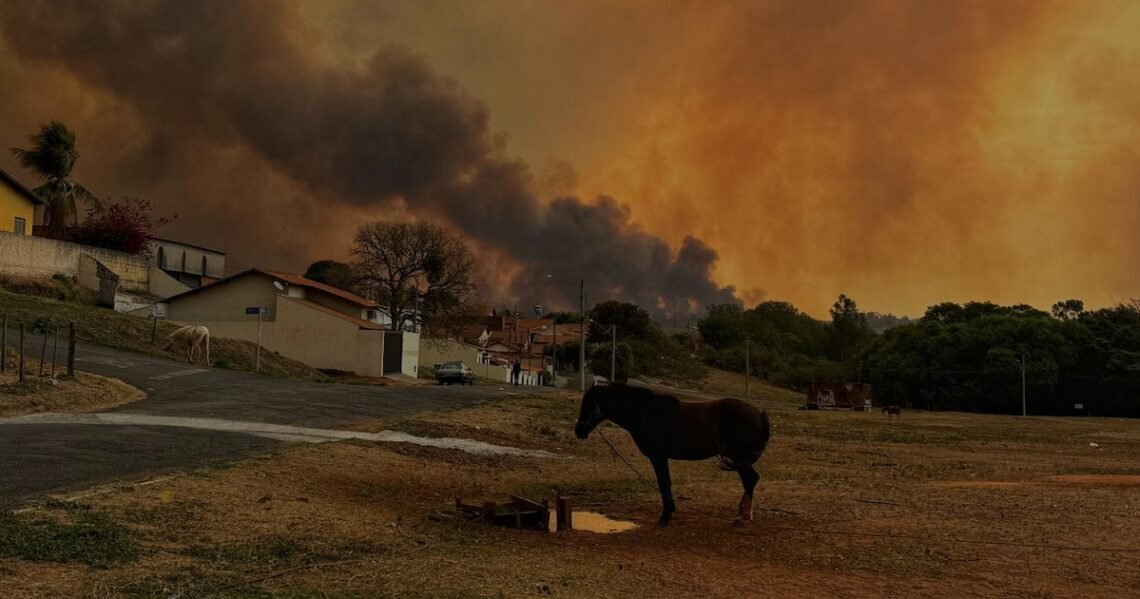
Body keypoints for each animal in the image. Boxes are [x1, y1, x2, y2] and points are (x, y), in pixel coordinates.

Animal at [574, 383, 770, 522]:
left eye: (589, 403)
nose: (579, 431)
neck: (646, 412)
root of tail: (758, 414)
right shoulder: (662, 458)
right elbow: (666, 483)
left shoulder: (658, 457)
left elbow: (664, 484)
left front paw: (665, 516)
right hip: (739, 459)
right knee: (751, 479)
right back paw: (742, 512)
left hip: (738, 457)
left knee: (750, 479)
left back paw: (744, 516)